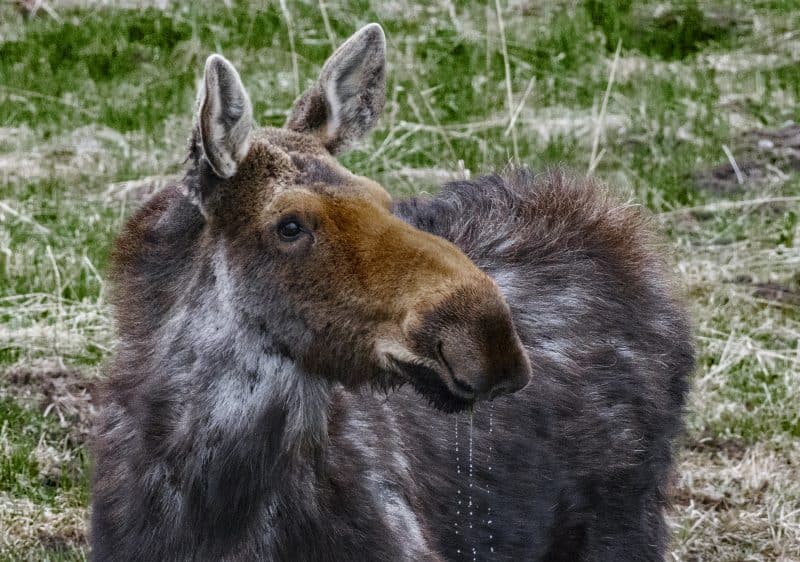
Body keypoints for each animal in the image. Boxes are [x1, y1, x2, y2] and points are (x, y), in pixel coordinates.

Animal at [92, 23, 692, 560]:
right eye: (289, 225)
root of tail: (617, 220)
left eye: (382, 197)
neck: (214, 510)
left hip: (626, 519)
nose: (489, 338)